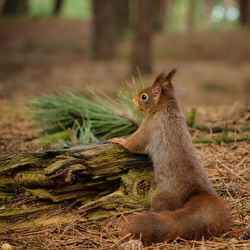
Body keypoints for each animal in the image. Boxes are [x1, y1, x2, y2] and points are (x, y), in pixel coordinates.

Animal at [110, 69, 231, 243]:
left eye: (144, 97)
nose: (133, 100)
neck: (165, 108)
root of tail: (195, 193)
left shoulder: (149, 127)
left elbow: (134, 144)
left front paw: (119, 140)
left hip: (161, 197)